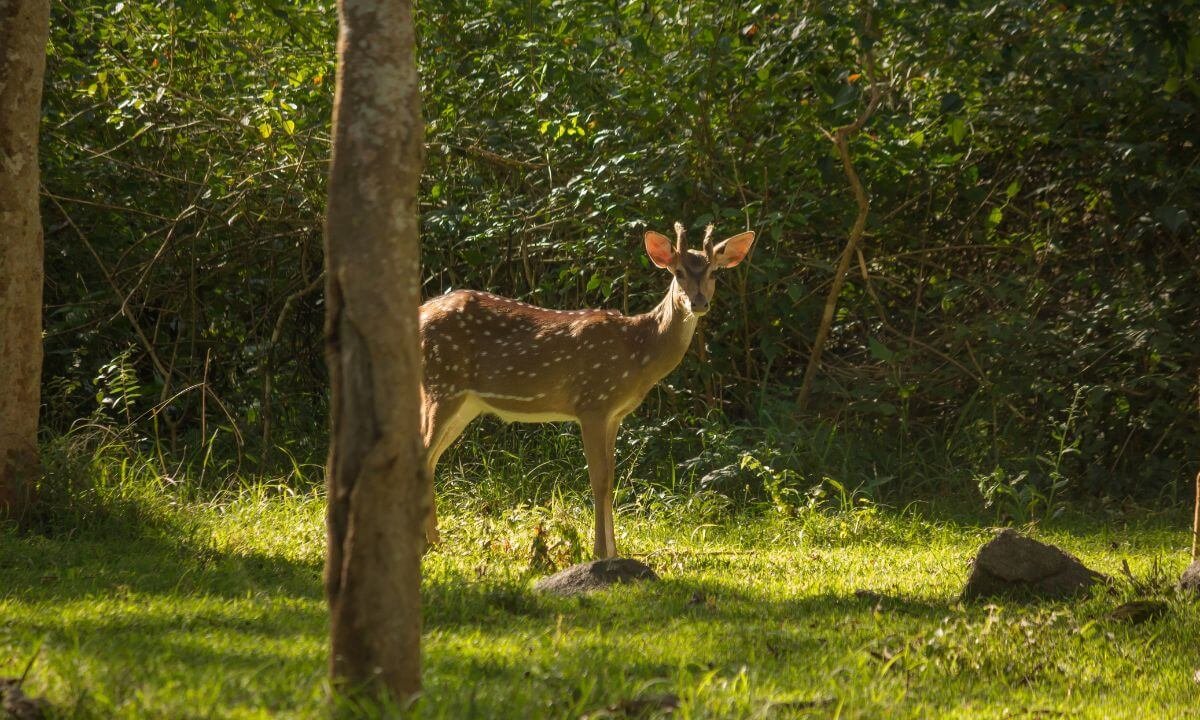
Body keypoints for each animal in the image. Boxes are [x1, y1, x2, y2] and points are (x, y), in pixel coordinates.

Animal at [422, 222, 753, 559]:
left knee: (431, 458)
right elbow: (599, 479)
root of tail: (421, 311)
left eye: (713, 272)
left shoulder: (615, 414)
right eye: (678, 272)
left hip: (466, 403)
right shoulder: (593, 403)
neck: (638, 351)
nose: (698, 303)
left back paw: (434, 540)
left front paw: (614, 551)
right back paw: (431, 543)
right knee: (423, 454)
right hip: (442, 386)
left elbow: (611, 477)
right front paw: (600, 552)